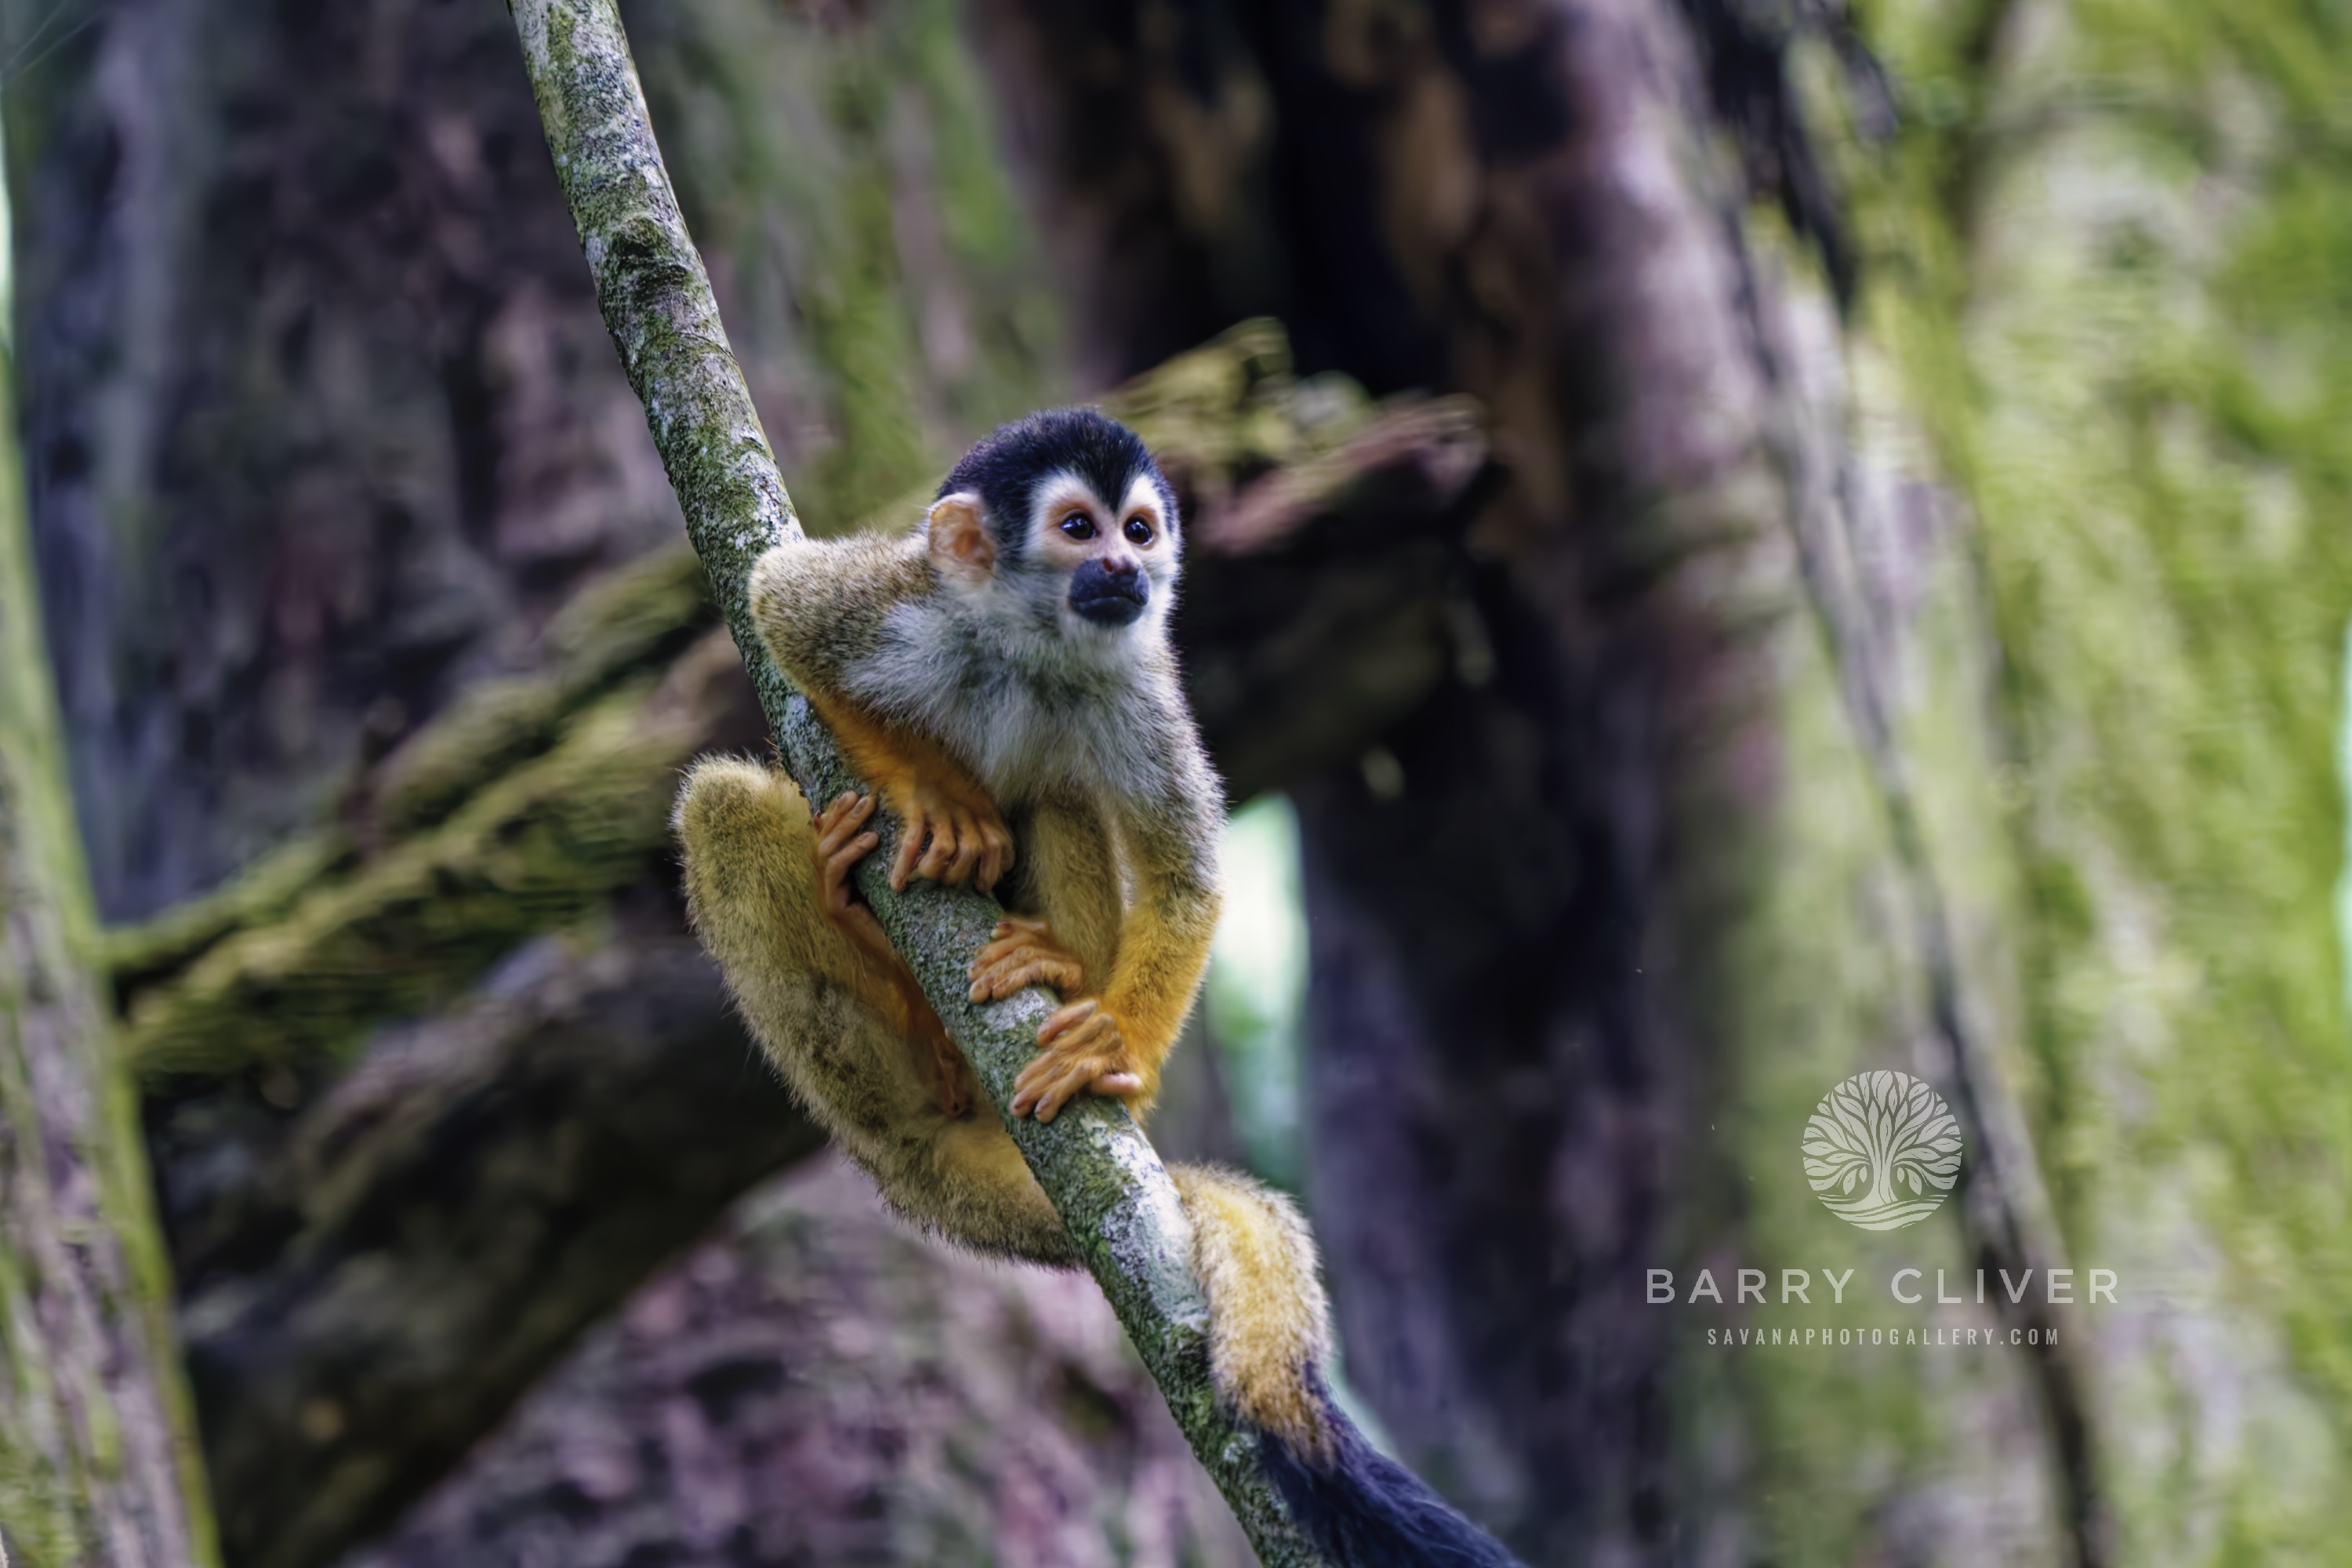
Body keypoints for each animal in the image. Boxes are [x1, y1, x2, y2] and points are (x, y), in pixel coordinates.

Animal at [674, 409, 1520, 1567]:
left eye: (1139, 527)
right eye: (1079, 529)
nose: (1127, 568)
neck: (1029, 648)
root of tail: (901, 1162)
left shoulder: (1141, 681)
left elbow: (1184, 878)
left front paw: (1114, 1044)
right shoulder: (901, 602)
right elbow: (777, 600)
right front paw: (935, 793)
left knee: (1066, 793)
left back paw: (1045, 972)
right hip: (845, 1072)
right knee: (719, 801)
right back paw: (862, 908)